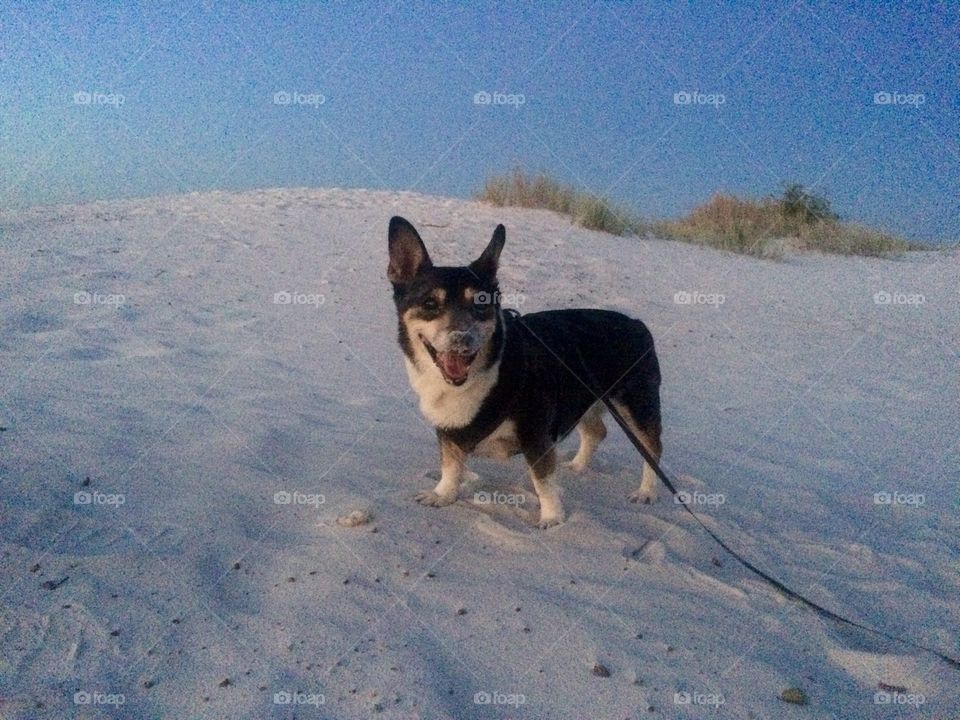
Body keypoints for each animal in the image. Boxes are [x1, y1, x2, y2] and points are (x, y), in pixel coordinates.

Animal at [386, 217, 664, 524]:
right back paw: (578, 465)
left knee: (652, 449)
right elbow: (450, 464)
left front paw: (553, 519)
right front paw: (443, 494)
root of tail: (636, 323)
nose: (463, 339)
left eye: (481, 305)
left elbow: (542, 480)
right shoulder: (447, 431)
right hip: (583, 397)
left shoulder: (536, 435)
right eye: (430, 304)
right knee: (596, 432)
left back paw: (646, 492)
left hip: (636, 406)